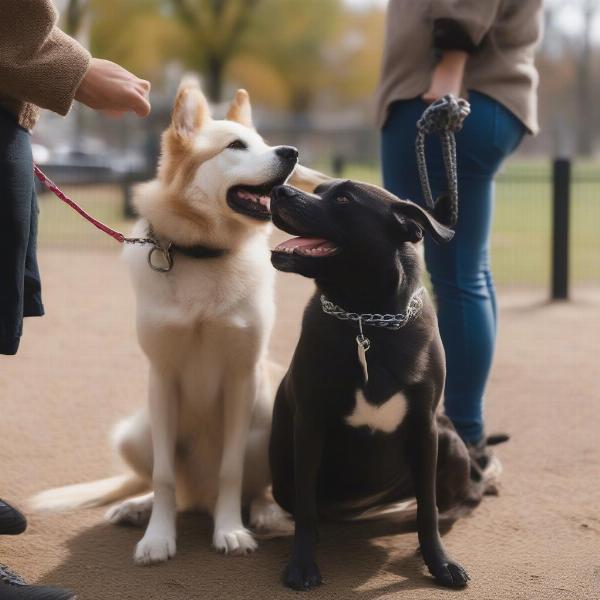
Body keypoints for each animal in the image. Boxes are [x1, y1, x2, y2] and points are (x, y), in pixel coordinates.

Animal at [31, 77, 328, 564]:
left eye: (264, 142)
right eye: (236, 146)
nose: (291, 152)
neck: (204, 255)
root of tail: (200, 498)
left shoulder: (242, 378)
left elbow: (230, 472)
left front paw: (230, 530)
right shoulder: (163, 379)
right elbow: (165, 476)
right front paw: (158, 536)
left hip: (273, 413)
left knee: (256, 488)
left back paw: (263, 513)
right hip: (135, 432)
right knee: (171, 487)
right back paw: (139, 506)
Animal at [270, 179, 480, 592]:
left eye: (343, 198)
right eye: (319, 189)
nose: (278, 190)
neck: (367, 320)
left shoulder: (425, 426)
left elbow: (429, 510)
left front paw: (439, 562)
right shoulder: (310, 423)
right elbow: (305, 508)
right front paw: (301, 564)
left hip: (450, 441)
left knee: (452, 506)